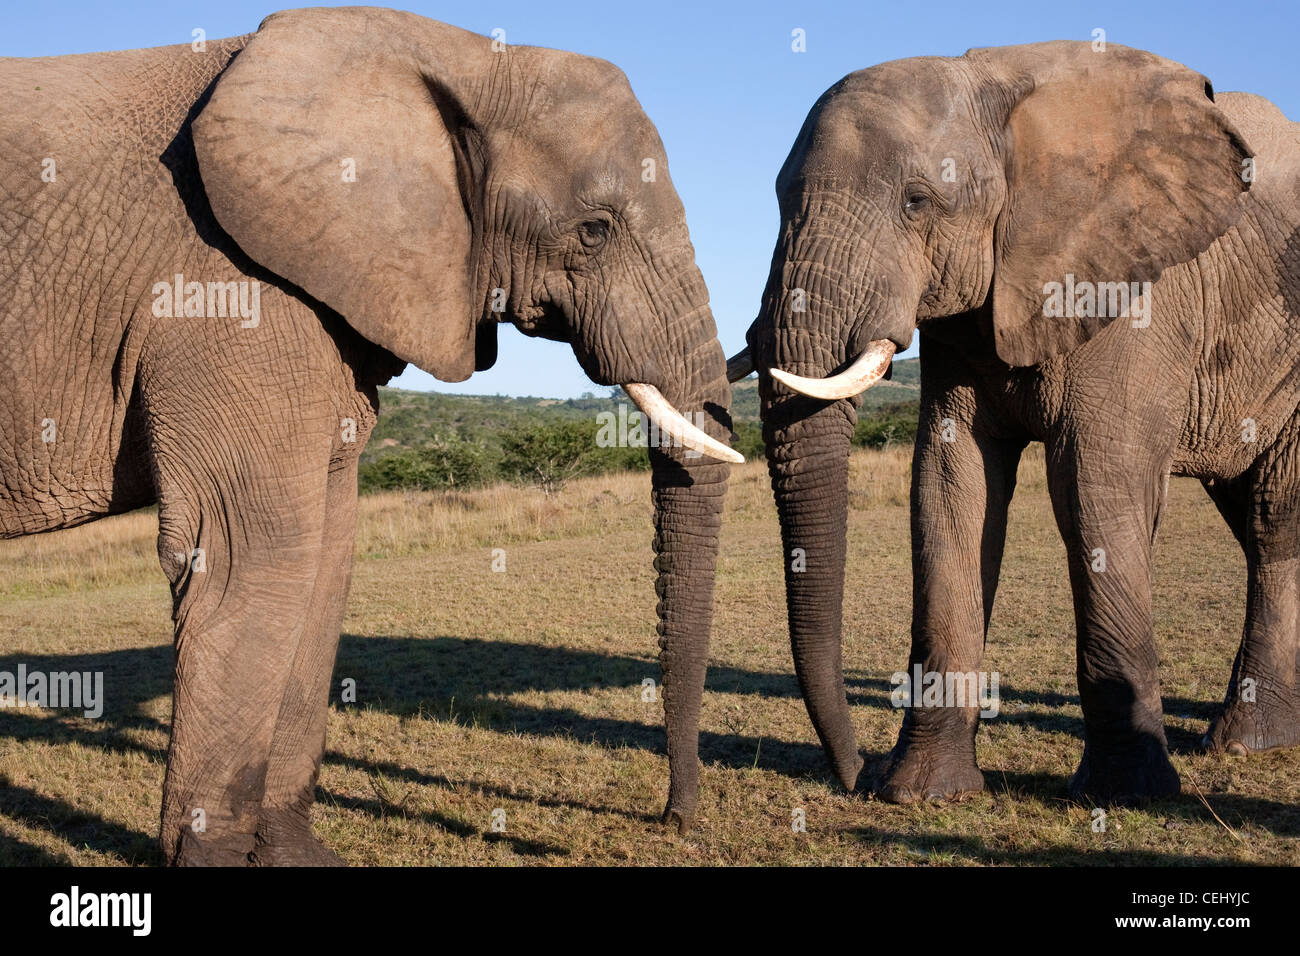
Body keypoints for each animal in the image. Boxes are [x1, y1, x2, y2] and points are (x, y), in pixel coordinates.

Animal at [0, 6, 742, 865]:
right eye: (594, 231)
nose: (675, 819)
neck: (457, 53)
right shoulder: (222, 291)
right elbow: (253, 554)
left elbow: (327, 558)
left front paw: (295, 855)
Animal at [728, 40, 1300, 805]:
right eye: (778, 199)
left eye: (917, 201)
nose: (854, 774)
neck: (993, 85)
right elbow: (951, 487)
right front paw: (923, 792)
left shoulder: (1131, 292)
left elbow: (1093, 487)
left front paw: (1127, 793)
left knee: (1272, 520)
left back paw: (1246, 741)